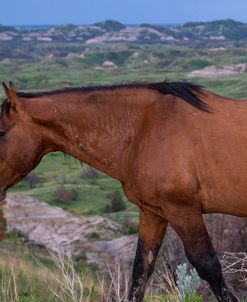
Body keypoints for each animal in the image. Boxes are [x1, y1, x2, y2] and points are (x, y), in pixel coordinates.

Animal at [0, 81, 246, 302]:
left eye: (1, 133)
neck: (143, 128)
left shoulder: (183, 210)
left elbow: (208, 266)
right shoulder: (153, 213)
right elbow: (141, 270)